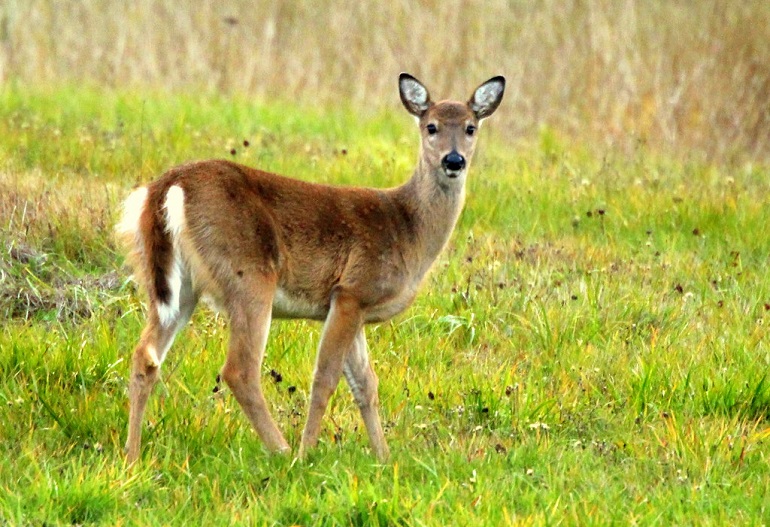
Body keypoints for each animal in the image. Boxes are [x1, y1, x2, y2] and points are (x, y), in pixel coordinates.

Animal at [117, 73, 504, 462]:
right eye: (431, 126)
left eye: (470, 127)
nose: (453, 160)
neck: (407, 228)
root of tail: (169, 185)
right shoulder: (352, 289)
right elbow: (326, 377)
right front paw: (309, 452)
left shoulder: (354, 306)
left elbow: (366, 383)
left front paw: (383, 457)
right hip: (248, 274)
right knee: (239, 370)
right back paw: (284, 450)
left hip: (175, 284)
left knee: (145, 356)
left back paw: (132, 455)